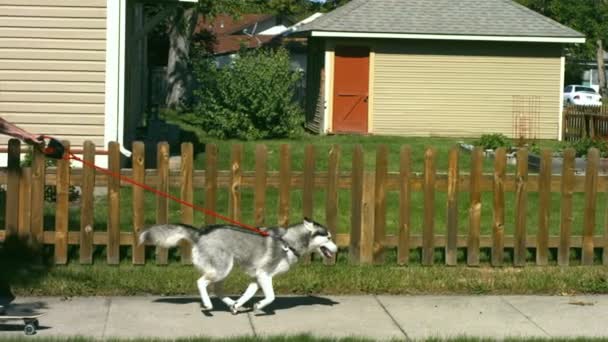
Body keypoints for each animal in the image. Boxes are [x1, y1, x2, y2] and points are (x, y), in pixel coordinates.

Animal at [139, 218, 338, 314]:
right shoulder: (265, 274)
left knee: (216, 289)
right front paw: (259, 306)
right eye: (328, 237)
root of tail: (200, 232)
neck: (288, 242)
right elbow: (271, 296)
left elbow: (248, 294)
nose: (337, 249)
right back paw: (208, 305)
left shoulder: (257, 277)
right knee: (201, 283)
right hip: (222, 268)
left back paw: (231, 304)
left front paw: (239, 304)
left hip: (224, 270)